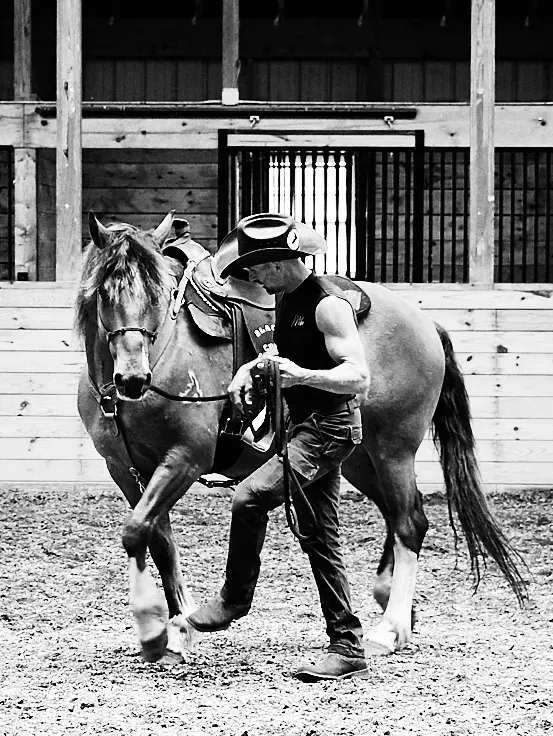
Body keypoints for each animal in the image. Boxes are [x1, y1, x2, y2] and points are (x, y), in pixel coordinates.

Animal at [75, 210, 524, 664]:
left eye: (159, 294)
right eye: (104, 293)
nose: (133, 378)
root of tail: (423, 321)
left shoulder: (186, 457)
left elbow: (136, 531)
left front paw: (155, 631)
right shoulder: (127, 470)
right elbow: (158, 540)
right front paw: (177, 632)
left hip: (393, 449)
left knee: (408, 523)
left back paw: (391, 628)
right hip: (359, 458)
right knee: (404, 515)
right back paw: (394, 607)